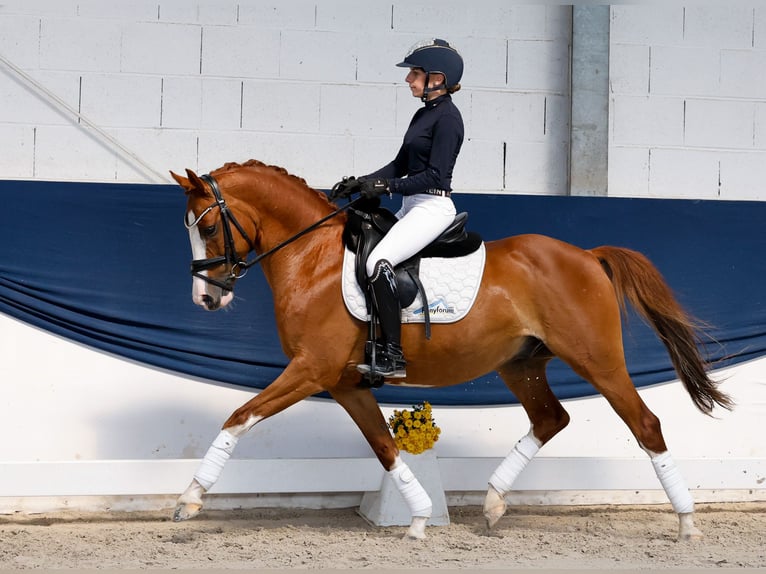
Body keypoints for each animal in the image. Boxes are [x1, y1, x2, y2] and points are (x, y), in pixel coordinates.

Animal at [170, 159, 733, 541]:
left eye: (210, 226)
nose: (206, 298)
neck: (313, 258)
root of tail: (588, 256)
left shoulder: (310, 369)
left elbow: (239, 418)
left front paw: (189, 499)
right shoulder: (344, 382)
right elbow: (385, 446)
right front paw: (419, 519)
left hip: (598, 360)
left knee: (645, 425)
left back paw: (687, 524)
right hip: (521, 365)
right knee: (551, 419)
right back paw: (493, 504)